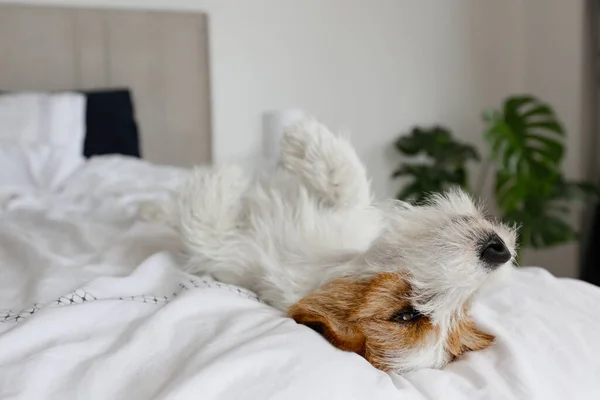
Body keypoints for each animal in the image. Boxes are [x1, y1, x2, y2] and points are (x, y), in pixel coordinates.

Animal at [156, 118, 516, 372]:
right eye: (406, 315)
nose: (500, 251)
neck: (327, 257)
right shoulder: (350, 217)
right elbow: (347, 181)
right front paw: (303, 135)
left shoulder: (226, 253)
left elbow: (203, 223)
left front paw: (224, 177)